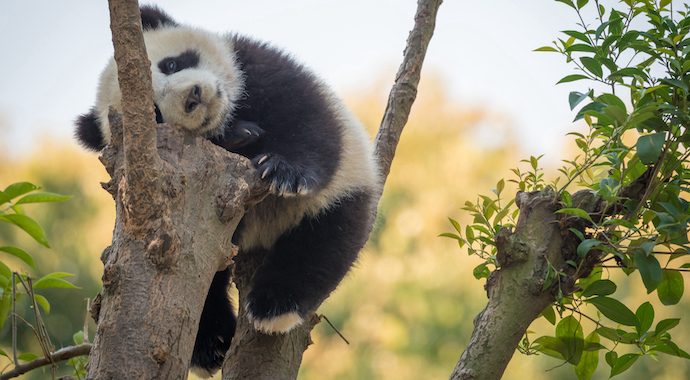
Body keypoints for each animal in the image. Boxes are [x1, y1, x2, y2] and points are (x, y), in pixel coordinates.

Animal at [76, 5, 378, 378]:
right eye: (155, 114)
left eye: (170, 64)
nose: (193, 96)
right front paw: (240, 135)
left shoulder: (255, 64)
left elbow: (306, 118)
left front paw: (284, 171)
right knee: (208, 281)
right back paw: (216, 343)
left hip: (344, 190)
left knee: (325, 239)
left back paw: (271, 307)